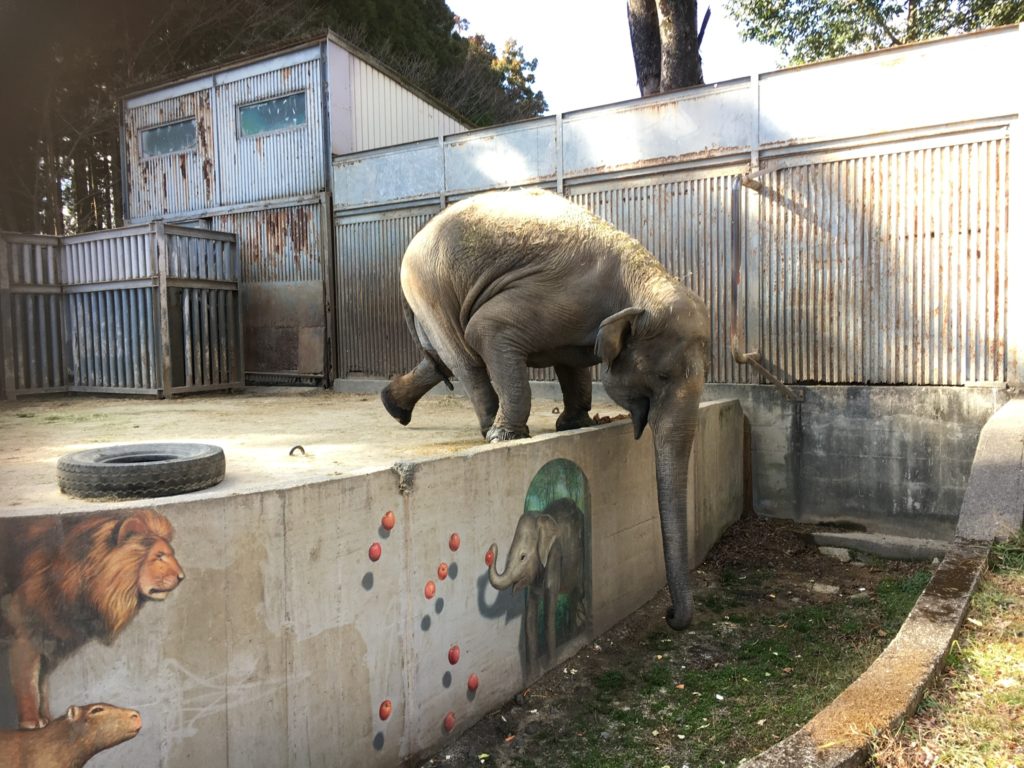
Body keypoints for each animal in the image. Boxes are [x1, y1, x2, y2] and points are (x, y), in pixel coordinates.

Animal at [1, 507, 184, 729]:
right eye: (159, 556)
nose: (182, 577)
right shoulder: (25, 635)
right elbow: (27, 681)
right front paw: (32, 721)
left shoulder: (47, 640)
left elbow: (41, 686)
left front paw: (47, 718)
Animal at [380, 188, 708, 630]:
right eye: (661, 378)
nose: (671, 615)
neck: (642, 275)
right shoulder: (560, 296)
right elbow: (487, 328)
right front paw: (512, 436)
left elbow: (572, 364)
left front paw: (576, 424)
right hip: (429, 286)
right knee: (464, 354)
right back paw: (492, 431)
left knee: (442, 359)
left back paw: (394, 407)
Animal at [485, 499, 585, 667]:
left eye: (523, 557)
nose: (491, 549)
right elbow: (530, 616)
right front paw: (534, 669)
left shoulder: (555, 554)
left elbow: (549, 608)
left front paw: (551, 664)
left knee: (575, 593)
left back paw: (574, 636)